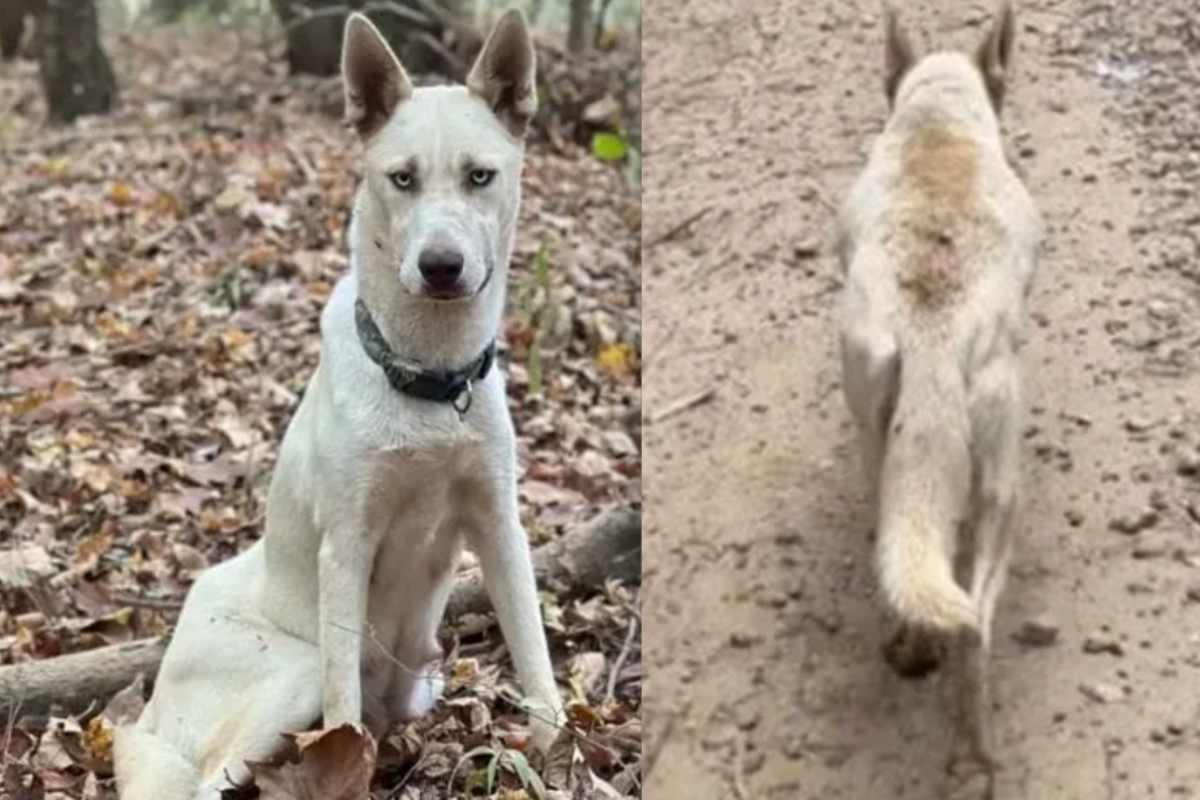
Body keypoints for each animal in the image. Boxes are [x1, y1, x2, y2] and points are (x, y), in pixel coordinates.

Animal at [835, 1, 1041, 796]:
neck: (939, 123)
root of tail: (933, 339)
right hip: (1002, 472)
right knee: (975, 621)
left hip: (877, 413)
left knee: (911, 559)